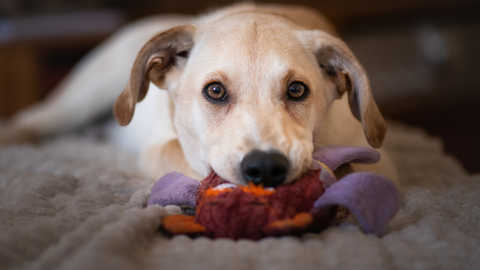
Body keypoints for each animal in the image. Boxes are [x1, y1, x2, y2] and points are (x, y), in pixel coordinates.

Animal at [0, 3, 398, 187]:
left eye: (297, 90)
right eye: (215, 91)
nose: (265, 168)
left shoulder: (382, 165)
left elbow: (357, 169)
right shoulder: (159, 149)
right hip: (83, 97)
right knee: (33, 119)